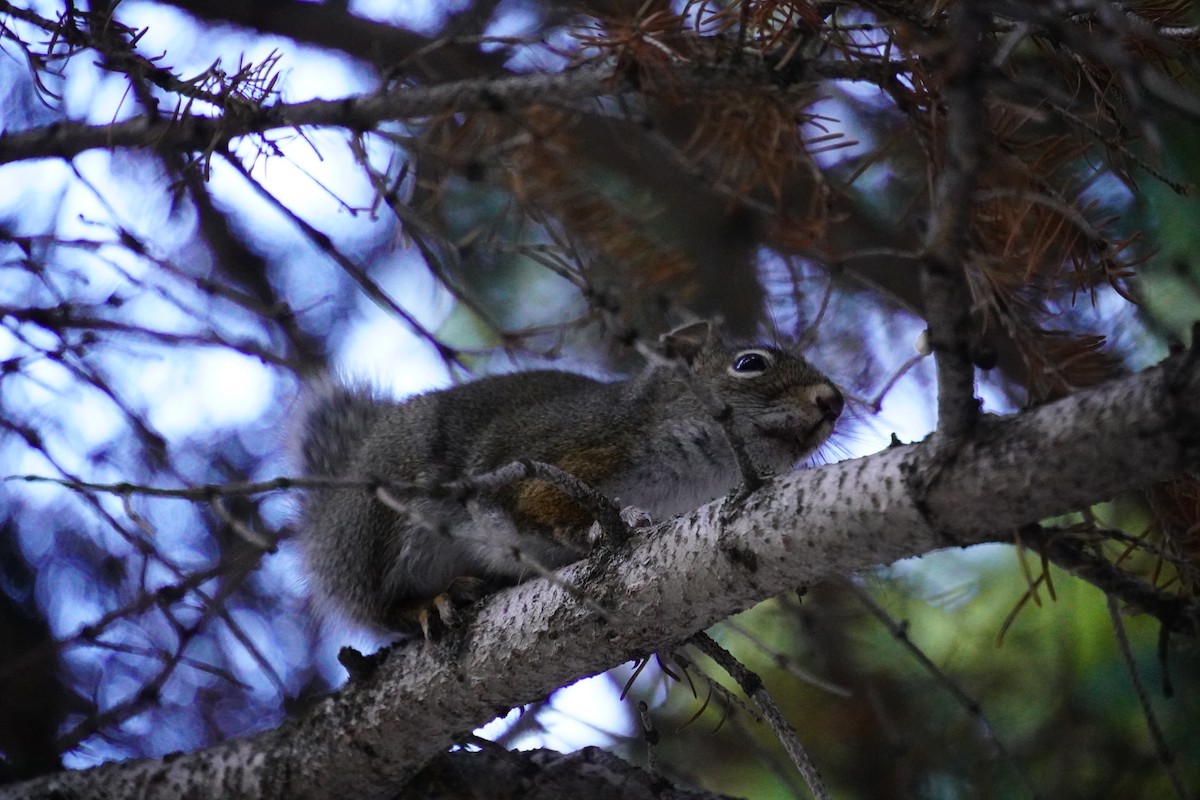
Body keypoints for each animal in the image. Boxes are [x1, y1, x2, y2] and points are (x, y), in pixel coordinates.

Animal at [294, 321, 843, 637]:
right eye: (749, 364)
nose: (833, 401)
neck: (691, 474)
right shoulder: (564, 456)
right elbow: (540, 506)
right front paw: (605, 526)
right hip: (386, 523)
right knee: (379, 608)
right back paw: (431, 602)